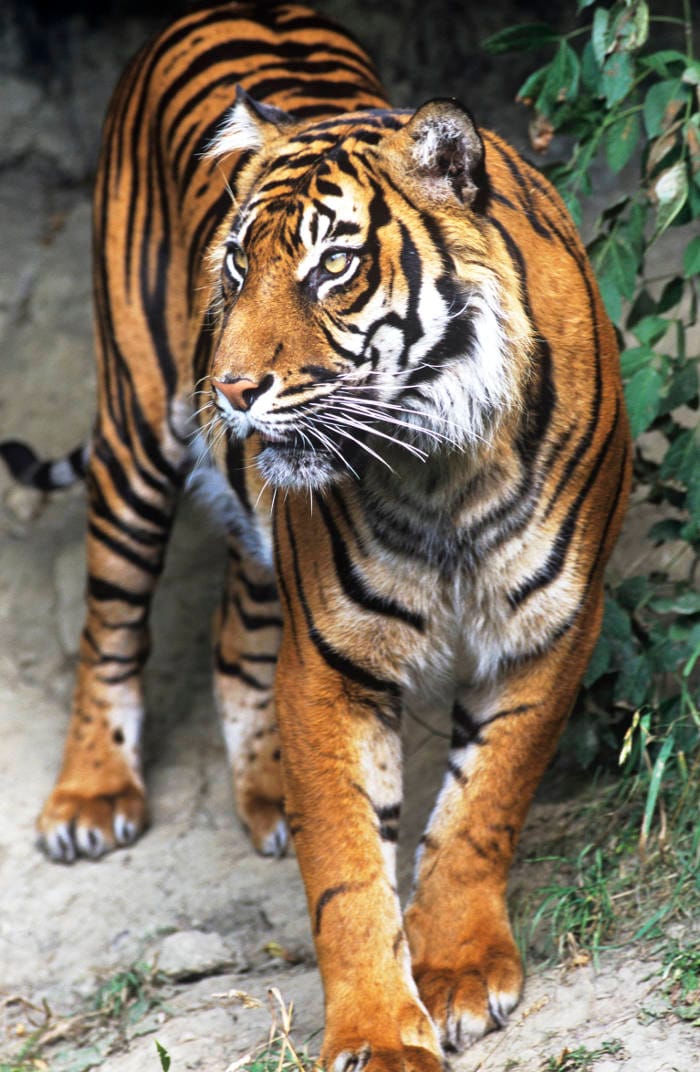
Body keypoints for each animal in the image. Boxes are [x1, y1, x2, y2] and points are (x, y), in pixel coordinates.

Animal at [0, 2, 631, 1069]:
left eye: (332, 265)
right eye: (235, 264)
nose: (229, 390)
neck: (445, 472)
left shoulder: (551, 627)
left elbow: (482, 807)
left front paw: (458, 969)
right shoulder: (330, 660)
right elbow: (348, 867)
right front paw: (381, 1033)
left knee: (231, 634)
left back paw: (266, 798)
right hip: (132, 429)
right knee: (109, 624)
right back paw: (90, 798)